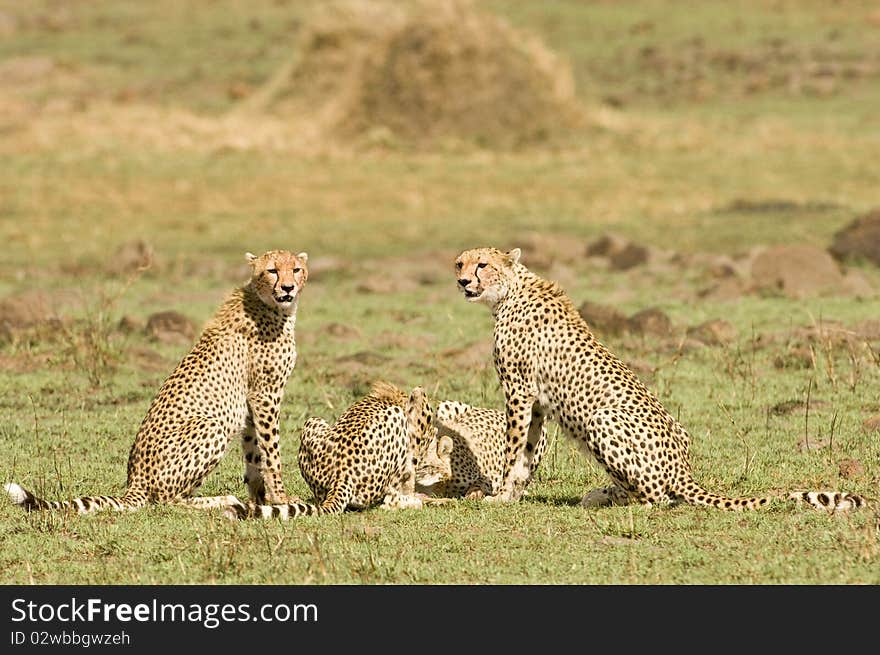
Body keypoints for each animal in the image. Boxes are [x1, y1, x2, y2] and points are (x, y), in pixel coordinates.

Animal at [5, 249, 310, 516]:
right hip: (211, 424)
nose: (287, 288)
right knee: (166, 500)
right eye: (272, 270)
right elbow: (271, 451)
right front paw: (281, 499)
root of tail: (135, 481)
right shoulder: (265, 394)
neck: (270, 305)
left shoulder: (250, 401)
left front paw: (261, 500)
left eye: (296, 269)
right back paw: (222, 501)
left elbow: (254, 453)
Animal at [458, 246, 868, 512]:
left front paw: (499, 494)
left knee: (658, 498)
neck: (509, 290)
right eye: (460, 263)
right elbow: (527, 451)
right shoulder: (537, 401)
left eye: (483, 264)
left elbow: (513, 448)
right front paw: (513, 494)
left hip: (601, 419)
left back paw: (614, 501)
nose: (462, 281)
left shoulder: (518, 391)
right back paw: (603, 495)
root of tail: (683, 467)